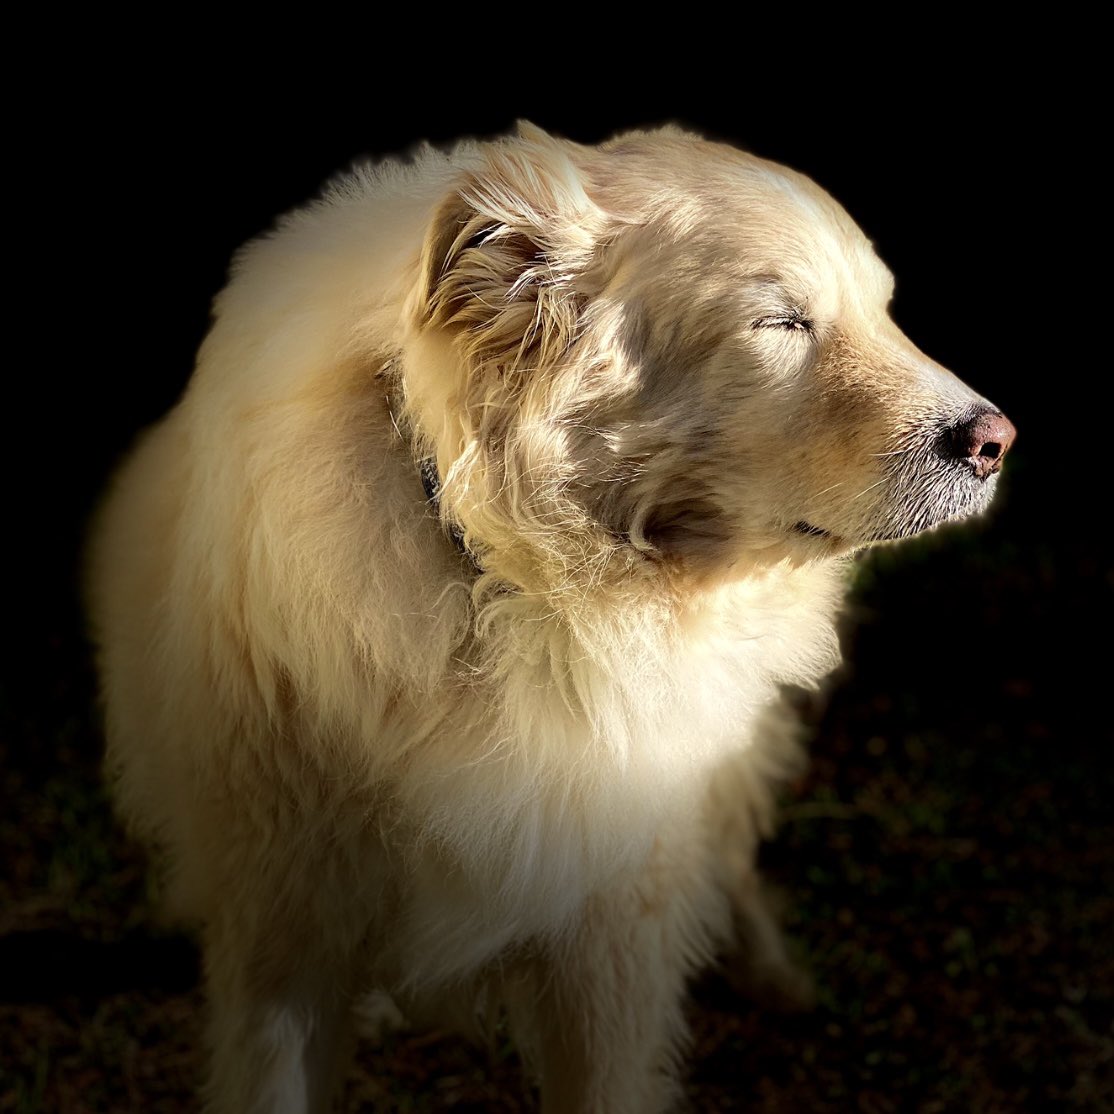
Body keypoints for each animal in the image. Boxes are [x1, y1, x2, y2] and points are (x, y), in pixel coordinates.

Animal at [84, 124, 1011, 1114]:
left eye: (882, 313)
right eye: (781, 323)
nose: (997, 442)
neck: (521, 589)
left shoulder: (610, 957)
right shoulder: (282, 939)